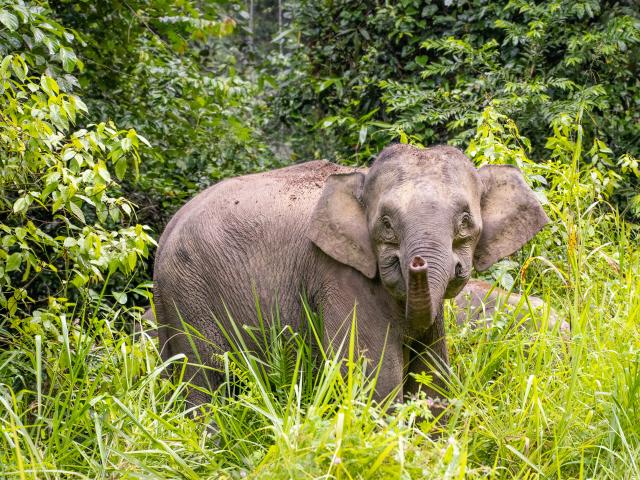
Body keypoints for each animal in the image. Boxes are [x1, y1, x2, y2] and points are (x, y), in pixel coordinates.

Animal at [152, 144, 549, 406]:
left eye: (465, 221)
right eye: (386, 224)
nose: (417, 263)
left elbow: (432, 372)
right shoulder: (340, 275)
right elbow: (375, 378)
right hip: (190, 296)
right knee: (203, 380)